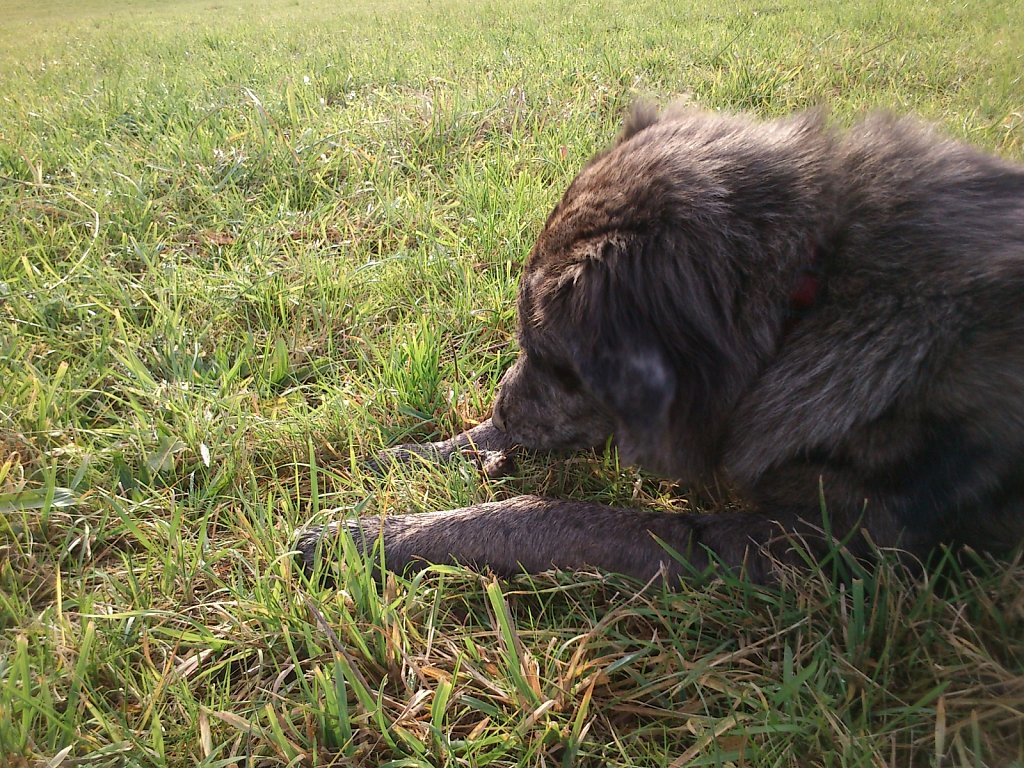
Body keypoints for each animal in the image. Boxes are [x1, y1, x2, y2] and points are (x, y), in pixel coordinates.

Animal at [294, 102, 1024, 581]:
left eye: (555, 360)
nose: (501, 404)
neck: (810, 292)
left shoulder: (797, 542)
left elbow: (538, 516)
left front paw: (366, 536)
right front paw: (400, 459)